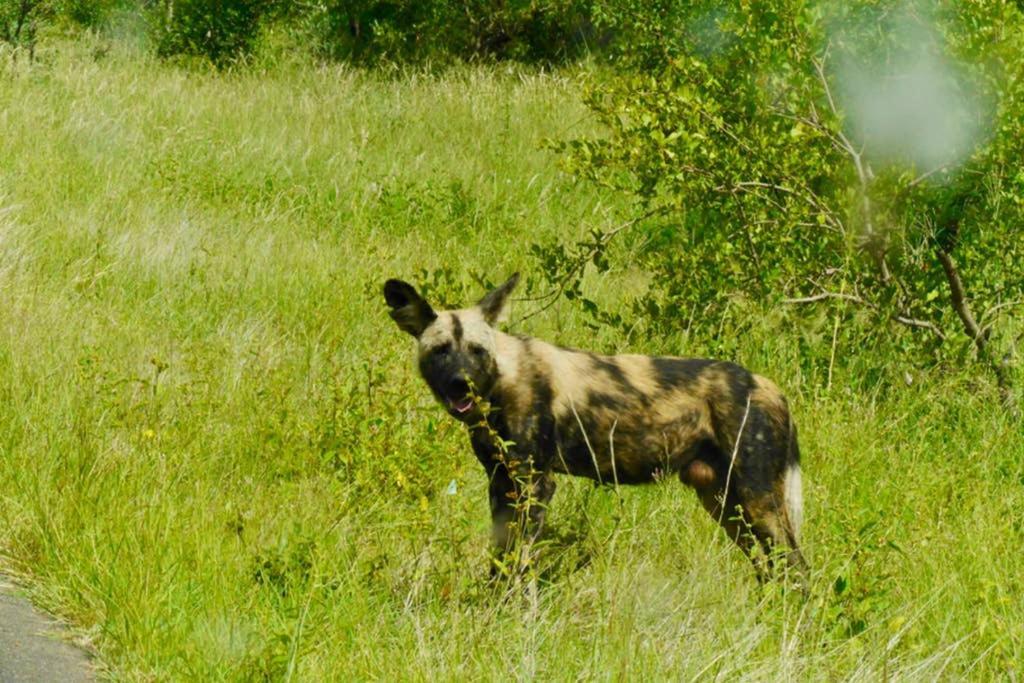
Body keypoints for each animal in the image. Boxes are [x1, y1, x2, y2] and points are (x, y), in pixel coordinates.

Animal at [385, 272, 806, 581]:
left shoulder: (535, 484)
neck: (501, 381)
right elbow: (500, 560)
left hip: (756, 497)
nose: (461, 383)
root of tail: (769, 386)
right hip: (724, 503)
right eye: (440, 351)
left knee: (796, 566)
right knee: (769, 569)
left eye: (476, 351)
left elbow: (519, 562)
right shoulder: (502, 483)